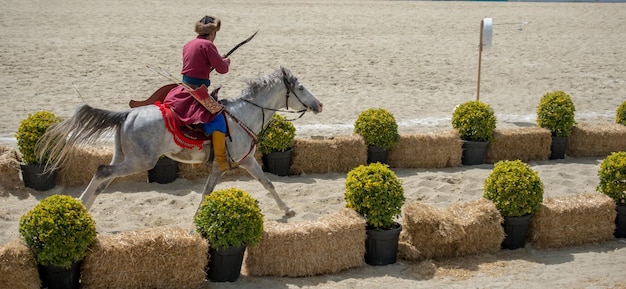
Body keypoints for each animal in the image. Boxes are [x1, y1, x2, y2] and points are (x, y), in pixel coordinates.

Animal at [37, 66, 322, 215]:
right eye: (301, 88)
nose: (319, 104)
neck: (244, 113)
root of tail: (127, 114)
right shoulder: (240, 162)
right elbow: (254, 185)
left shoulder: (241, 162)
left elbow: (264, 183)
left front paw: (286, 209)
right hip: (140, 161)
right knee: (101, 171)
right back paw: (81, 205)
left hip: (124, 157)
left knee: (102, 180)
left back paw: (83, 206)